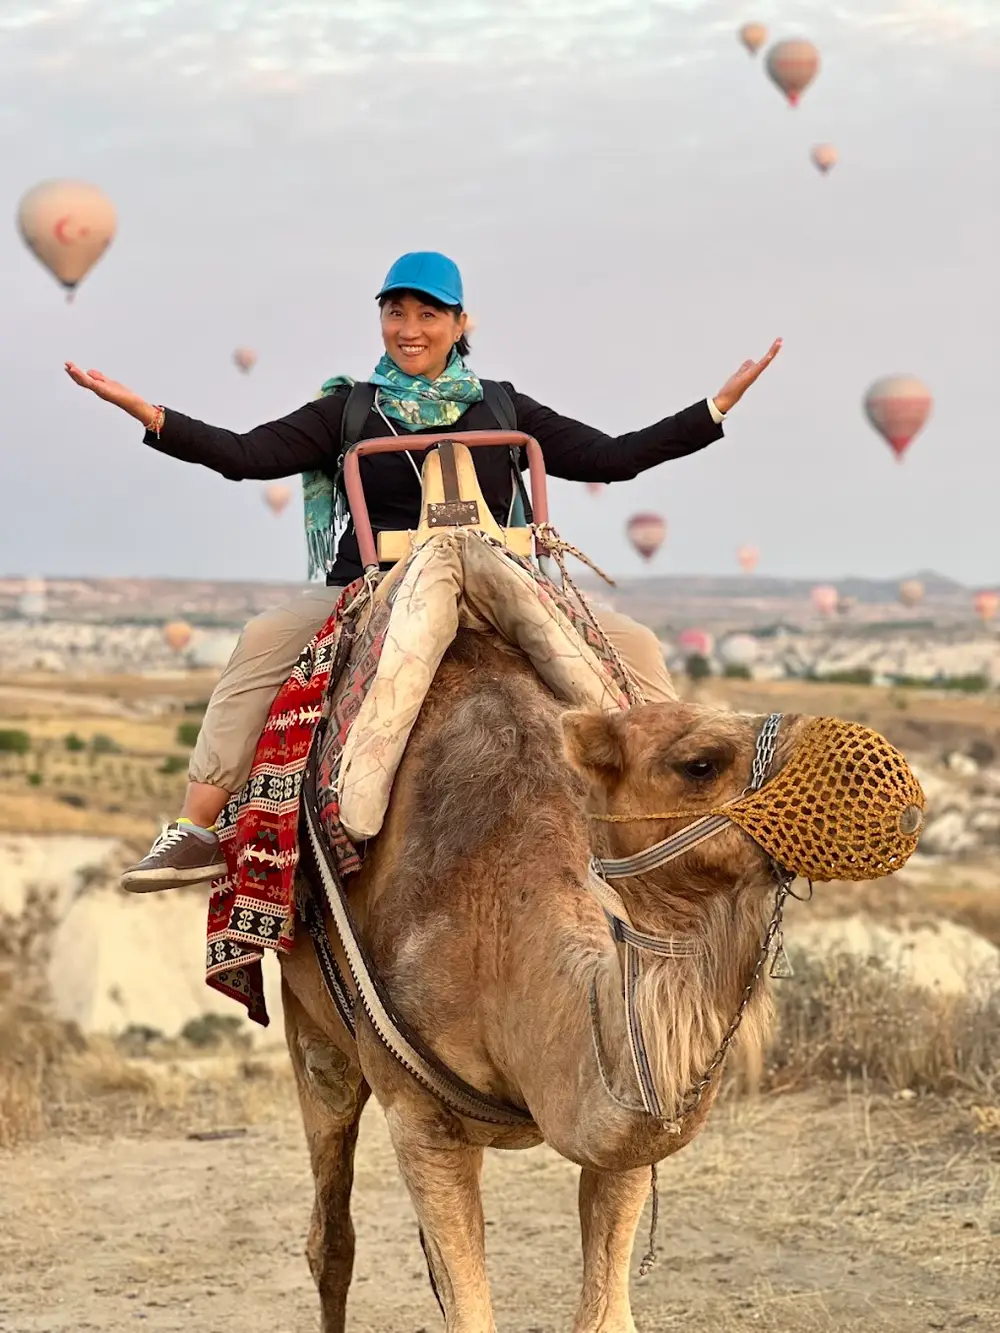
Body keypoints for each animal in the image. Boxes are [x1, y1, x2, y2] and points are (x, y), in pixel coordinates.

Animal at [279, 625, 822, 1333]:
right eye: (699, 763)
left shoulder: (620, 1126)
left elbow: (605, 1310)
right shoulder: (418, 1117)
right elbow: (468, 1310)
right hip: (313, 1030)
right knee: (331, 1230)